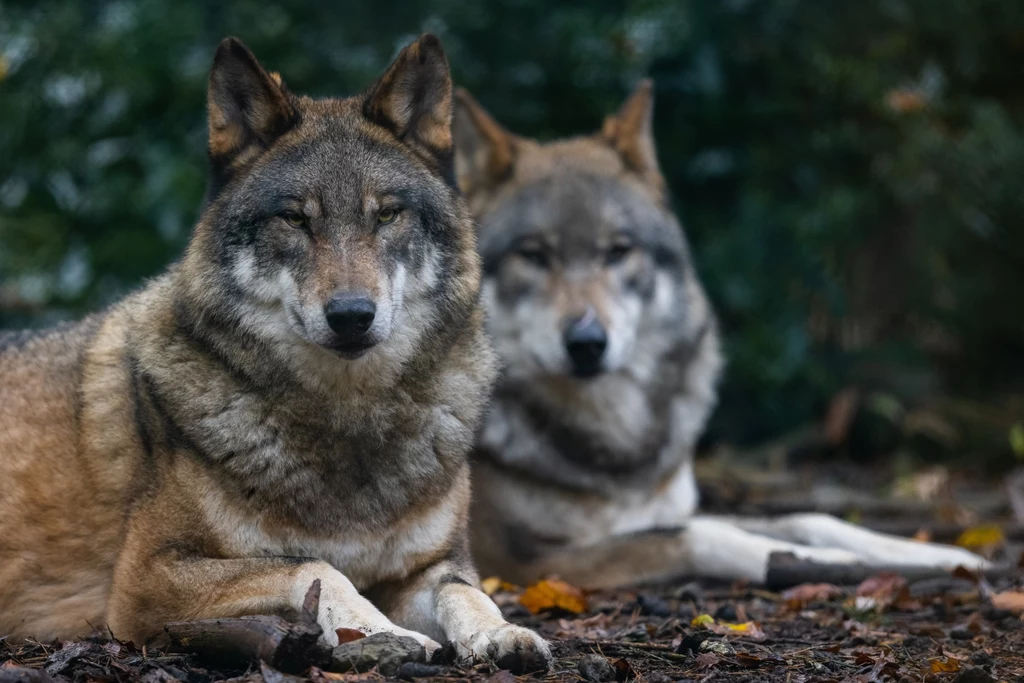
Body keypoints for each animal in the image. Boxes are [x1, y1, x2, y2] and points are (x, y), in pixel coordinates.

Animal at [0, 33, 552, 671]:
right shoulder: (146, 580)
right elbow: (316, 566)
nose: (351, 315)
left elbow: (466, 592)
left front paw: (502, 633)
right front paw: (387, 636)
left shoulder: (427, 567)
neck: (349, 422)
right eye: (294, 218)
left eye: (387, 214)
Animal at [452, 83, 987, 589]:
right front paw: (820, 562)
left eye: (618, 252)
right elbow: (704, 533)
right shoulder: (526, 560)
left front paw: (941, 555)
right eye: (534, 256)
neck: (619, 451)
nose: (586, 343)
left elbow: (809, 517)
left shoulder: (662, 511)